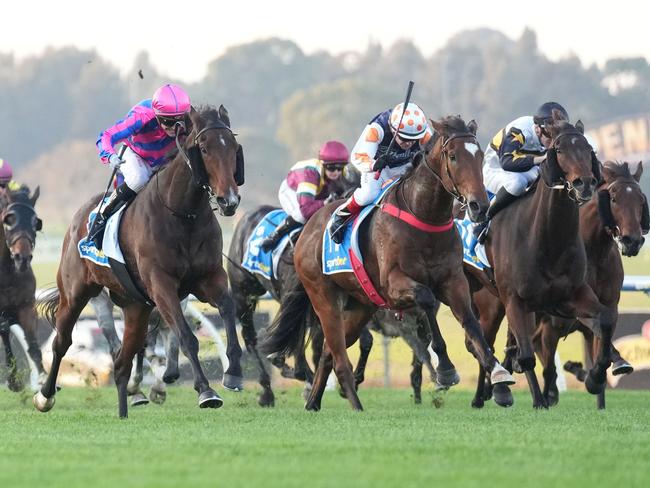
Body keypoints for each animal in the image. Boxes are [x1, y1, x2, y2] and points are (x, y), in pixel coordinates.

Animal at [34, 105, 240, 418]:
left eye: (233, 148)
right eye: (204, 149)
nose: (229, 200)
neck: (183, 215)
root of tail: (78, 218)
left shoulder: (209, 278)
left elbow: (228, 309)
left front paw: (234, 372)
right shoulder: (161, 285)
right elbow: (186, 336)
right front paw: (206, 390)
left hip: (135, 307)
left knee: (122, 360)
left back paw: (127, 406)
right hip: (76, 293)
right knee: (62, 343)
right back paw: (45, 395)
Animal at [260, 116, 512, 410]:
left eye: (480, 155)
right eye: (453, 156)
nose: (479, 206)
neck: (424, 218)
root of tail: (307, 230)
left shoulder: (453, 280)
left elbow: (471, 322)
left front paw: (499, 374)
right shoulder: (394, 284)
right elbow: (426, 300)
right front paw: (446, 369)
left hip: (360, 307)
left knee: (328, 353)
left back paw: (313, 403)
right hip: (324, 299)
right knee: (338, 356)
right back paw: (355, 405)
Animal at [466, 110, 608, 408]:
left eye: (588, 148)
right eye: (560, 149)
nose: (585, 183)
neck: (547, 240)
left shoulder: (570, 295)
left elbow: (605, 320)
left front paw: (595, 377)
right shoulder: (514, 299)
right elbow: (526, 356)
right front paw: (539, 401)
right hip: (490, 303)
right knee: (483, 341)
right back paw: (487, 394)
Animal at [528, 161, 644, 408]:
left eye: (641, 200)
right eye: (614, 198)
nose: (632, 240)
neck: (594, 252)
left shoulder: (608, 304)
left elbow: (603, 336)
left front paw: (599, 376)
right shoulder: (569, 310)